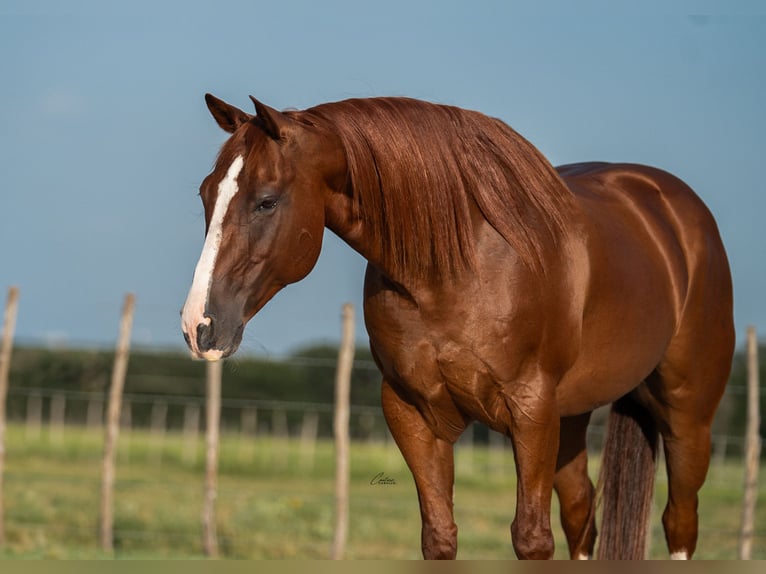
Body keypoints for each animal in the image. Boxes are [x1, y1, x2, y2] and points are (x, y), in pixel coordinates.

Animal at [180, 94, 734, 560]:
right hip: (574, 417)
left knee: (679, 522)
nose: (198, 326)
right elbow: (439, 535)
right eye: (205, 195)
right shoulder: (411, 411)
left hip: (687, 416)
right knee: (582, 516)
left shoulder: (531, 410)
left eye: (267, 200)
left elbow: (531, 539)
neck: (454, 267)